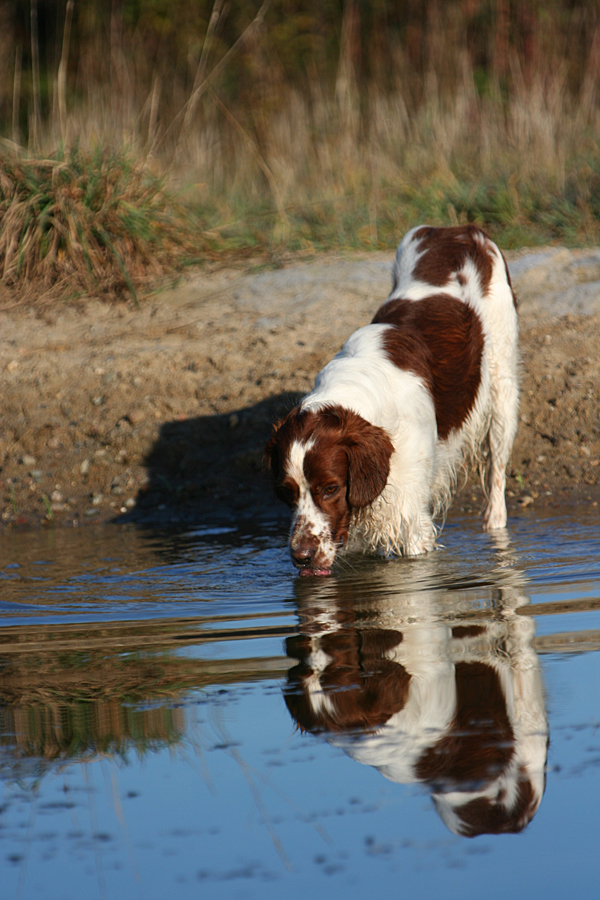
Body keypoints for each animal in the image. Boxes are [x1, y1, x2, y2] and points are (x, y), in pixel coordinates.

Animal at [264, 227, 516, 576]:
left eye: (330, 488)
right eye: (287, 492)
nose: (301, 556)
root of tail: (457, 231)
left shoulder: (409, 518)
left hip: (502, 391)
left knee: (497, 479)